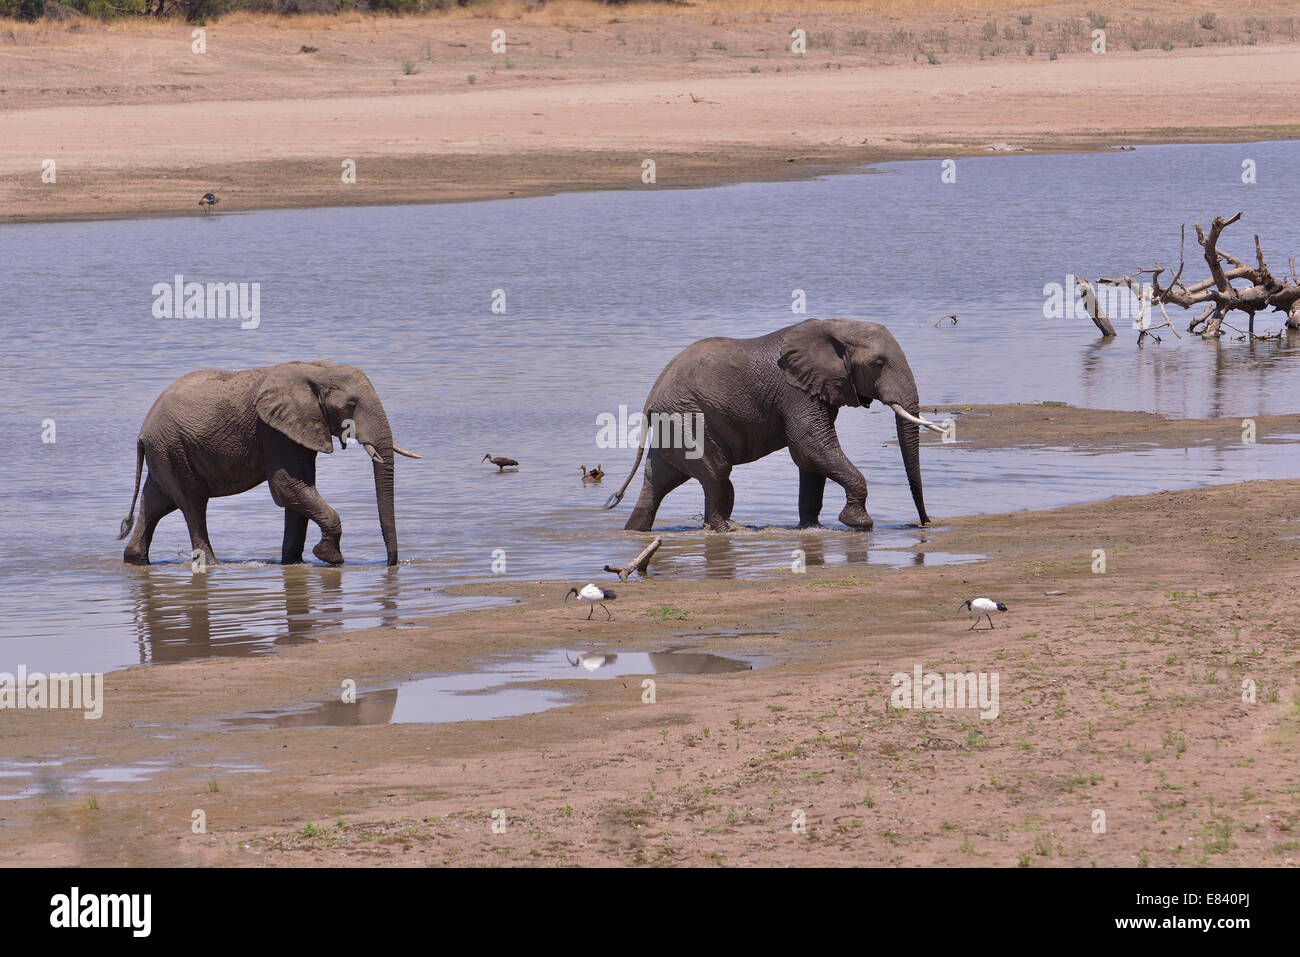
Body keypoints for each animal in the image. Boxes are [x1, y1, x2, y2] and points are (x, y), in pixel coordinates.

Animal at [120, 361, 418, 564]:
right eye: (351, 405)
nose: (391, 564)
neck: (316, 370)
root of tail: (142, 432)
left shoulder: (298, 430)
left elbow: (300, 490)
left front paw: (294, 563)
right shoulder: (274, 430)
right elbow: (287, 488)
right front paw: (329, 558)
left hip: (166, 451)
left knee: (157, 502)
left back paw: (135, 559)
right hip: (173, 448)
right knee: (192, 503)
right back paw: (213, 564)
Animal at [603, 319, 941, 530]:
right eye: (878, 364)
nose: (925, 524)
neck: (835, 326)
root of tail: (650, 400)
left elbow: (811, 459)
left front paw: (811, 527)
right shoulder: (795, 391)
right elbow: (809, 445)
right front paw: (859, 524)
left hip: (674, 422)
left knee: (658, 481)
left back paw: (635, 531)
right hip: (688, 418)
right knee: (716, 475)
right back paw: (728, 529)